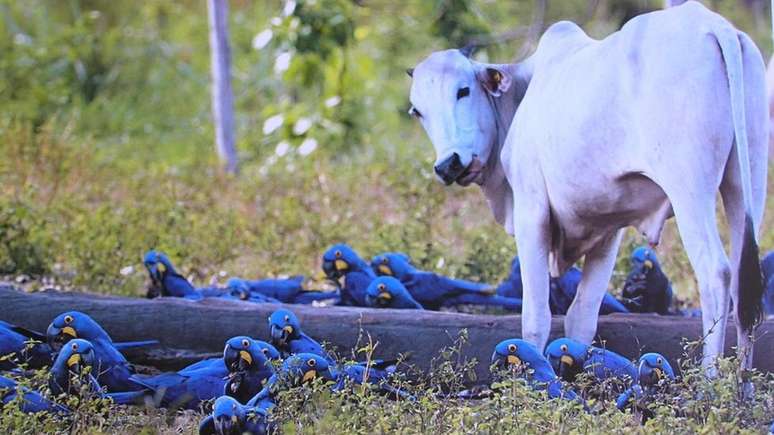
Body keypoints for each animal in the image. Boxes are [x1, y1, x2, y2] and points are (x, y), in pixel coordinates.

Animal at [410, 0, 768, 378]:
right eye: (418, 111)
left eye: (463, 91)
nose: (449, 164)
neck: (524, 93)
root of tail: (714, 26)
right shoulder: (608, 228)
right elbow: (581, 315)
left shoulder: (531, 212)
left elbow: (535, 317)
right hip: (748, 179)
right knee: (745, 284)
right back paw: (742, 385)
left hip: (689, 185)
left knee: (716, 273)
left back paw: (709, 382)